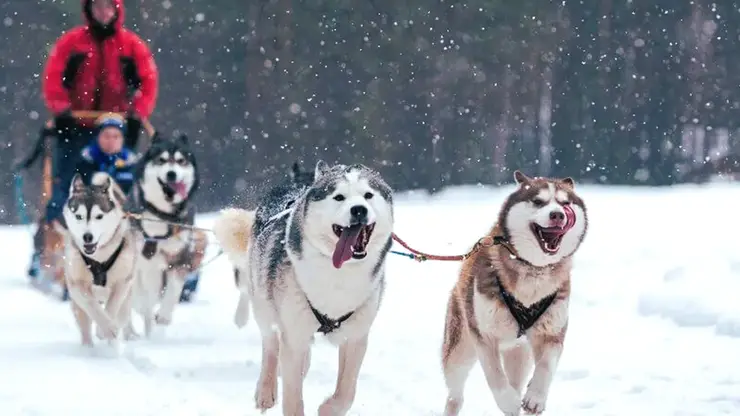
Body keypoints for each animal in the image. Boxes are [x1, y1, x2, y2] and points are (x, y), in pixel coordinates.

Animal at [61, 171, 138, 348]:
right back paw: (88, 347)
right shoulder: (76, 284)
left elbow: (113, 306)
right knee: (85, 324)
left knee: (123, 315)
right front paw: (106, 327)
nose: (87, 237)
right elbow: (92, 306)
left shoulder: (123, 281)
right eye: (79, 216)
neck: (99, 257)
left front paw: (106, 330)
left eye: (99, 216)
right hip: (77, 305)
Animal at [124, 133, 205, 338]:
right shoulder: (148, 264)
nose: (171, 174)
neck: (164, 216)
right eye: (161, 160)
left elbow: (172, 293)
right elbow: (145, 301)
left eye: (181, 161)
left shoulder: (179, 258)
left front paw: (163, 317)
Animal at [211, 160, 396, 416]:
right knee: (270, 344)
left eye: (368, 195)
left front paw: (329, 408)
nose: (359, 209)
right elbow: (292, 396)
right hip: (264, 304)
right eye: (339, 197)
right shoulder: (294, 334)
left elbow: (346, 392)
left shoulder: (356, 335)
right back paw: (266, 390)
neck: (338, 275)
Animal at [440, 171, 588, 416]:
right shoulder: (483, 335)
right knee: (455, 394)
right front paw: (508, 401)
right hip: (459, 350)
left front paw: (535, 397)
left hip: (519, 353)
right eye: (538, 201)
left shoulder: (552, 331)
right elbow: (495, 375)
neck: (534, 270)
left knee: (516, 380)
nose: (557, 215)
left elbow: (547, 365)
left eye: (565, 203)